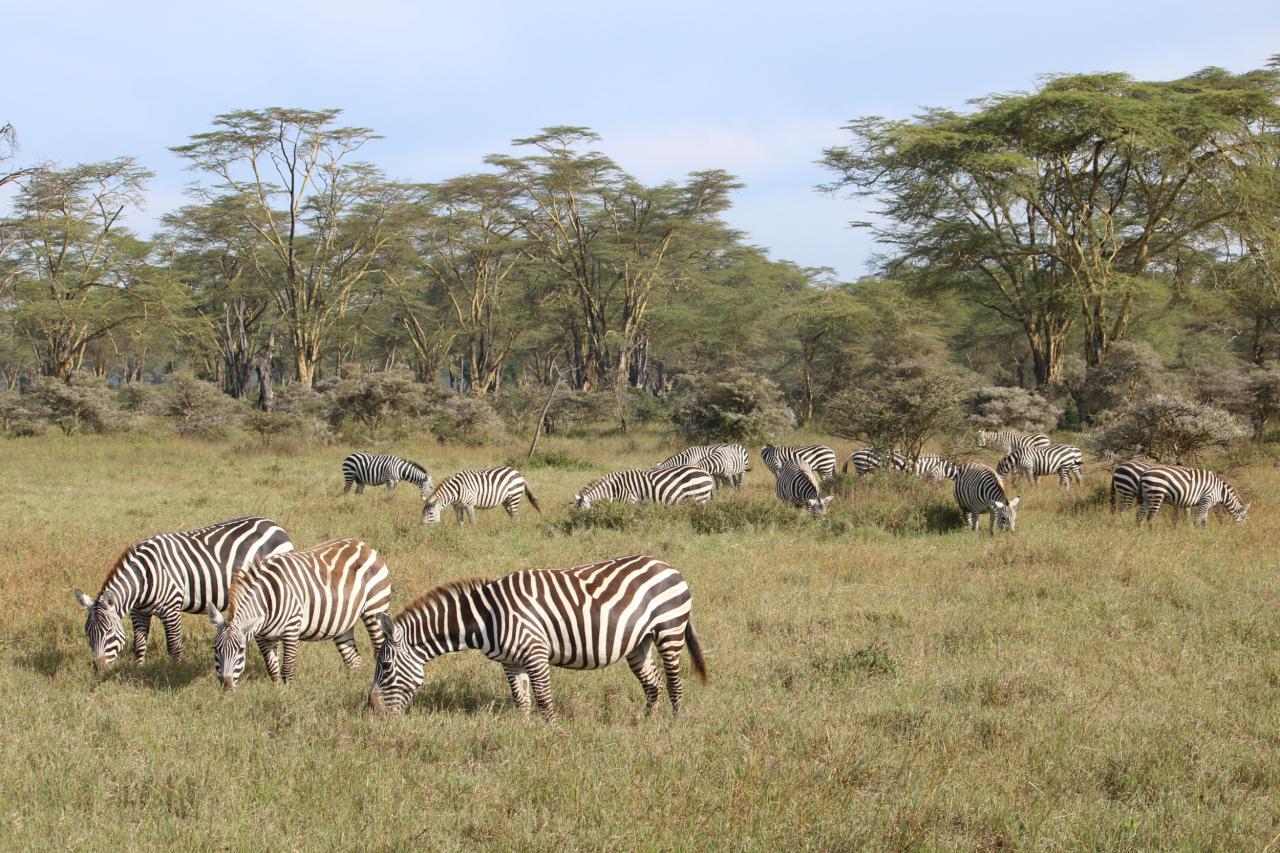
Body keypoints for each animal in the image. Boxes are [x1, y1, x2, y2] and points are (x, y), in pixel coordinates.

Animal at [73, 512, 293, 671]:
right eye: (88, 633)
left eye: (109, 632)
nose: (98, 668)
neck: (143, 578)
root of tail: (275, 526)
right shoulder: (139, 611)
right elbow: (139, 644)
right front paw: (138, 669)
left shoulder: (171, 608)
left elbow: (173, 646)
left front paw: (175, 672)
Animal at [206, 535, 389, 686]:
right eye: (215, 648)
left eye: (241, 650)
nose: (226, 685)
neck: (266, 600)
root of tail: (363, 545)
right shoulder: (262, 637)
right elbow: (272, 669)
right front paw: (276, 692)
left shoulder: (291, 628)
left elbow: (287, 669)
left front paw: (286, 695)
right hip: (343, 621)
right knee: (353, 659)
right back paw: (350, 685)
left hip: (375, 607)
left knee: (379, 648)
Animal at [368, 550, 711, 717]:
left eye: (385, 665)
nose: (372, 711)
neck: (487, 617)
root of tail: (669, 567)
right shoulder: (511, 662)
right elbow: (521, 700)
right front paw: (524, 736)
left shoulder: (535, 653)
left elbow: (544, 700)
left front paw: (552, 738)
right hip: (640, 642)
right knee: (653, 684)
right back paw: (646, 723)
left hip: (669, 630)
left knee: (674, 683)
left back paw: (673, 725)